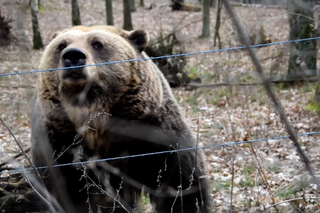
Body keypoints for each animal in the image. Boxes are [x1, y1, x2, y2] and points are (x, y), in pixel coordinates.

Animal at [29, 26, 210, 213]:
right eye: (61, 45)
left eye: (97, 43)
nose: (72, 56)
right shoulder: (59, 145)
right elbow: (67, 193)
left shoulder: (155, 135)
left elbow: (181, 184)